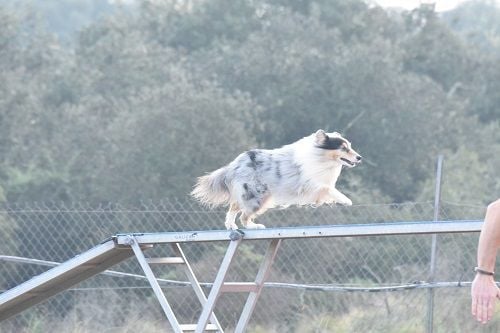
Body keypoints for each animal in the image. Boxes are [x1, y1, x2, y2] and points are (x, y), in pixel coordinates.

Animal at [190, 129, 360, 228]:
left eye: (350, 146)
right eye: (343, 148)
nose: (360, 158)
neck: (320, 157)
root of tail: (233, 166)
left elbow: (327, 190)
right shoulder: (310, 184)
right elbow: (328, 188)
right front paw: (346, 200)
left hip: (258, 195)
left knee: (234, 206)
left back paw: (231, 226)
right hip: (257, 196)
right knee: (243, 215)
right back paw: (255, 226)